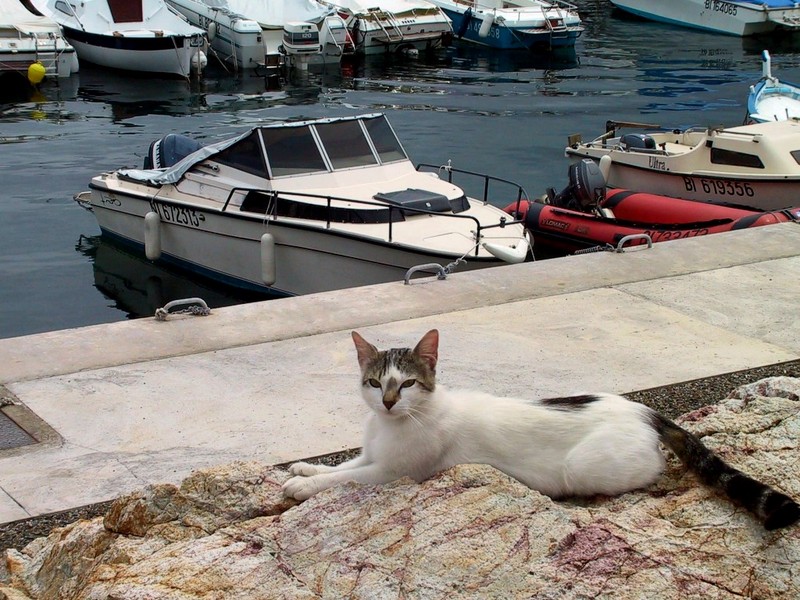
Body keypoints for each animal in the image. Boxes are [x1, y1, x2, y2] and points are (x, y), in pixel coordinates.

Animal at [282, 328, 800, 528]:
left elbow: (347, 478)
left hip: (586, 467)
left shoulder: (395, 473)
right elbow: (343, 465)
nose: (388, 403)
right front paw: (306, 470)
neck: (390, 426)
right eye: (374, 384)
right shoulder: (371, 454)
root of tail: (642, 410)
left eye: (407, 384)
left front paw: (302, 486)